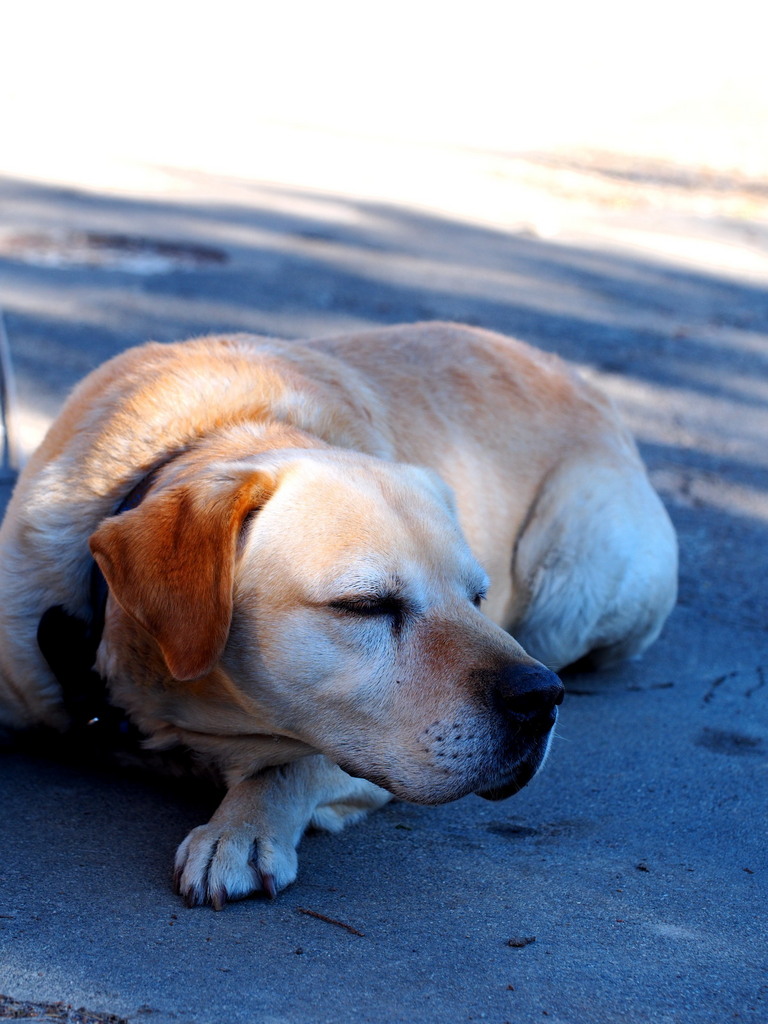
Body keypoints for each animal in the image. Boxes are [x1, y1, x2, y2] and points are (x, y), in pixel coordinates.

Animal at [0, 322, 677, 908]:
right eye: (366, 606)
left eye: (477, 597)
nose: (542, 699)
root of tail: (582, 382)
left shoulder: (361, 760)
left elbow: (293, 761)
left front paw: (240, 830)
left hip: (575, 581)